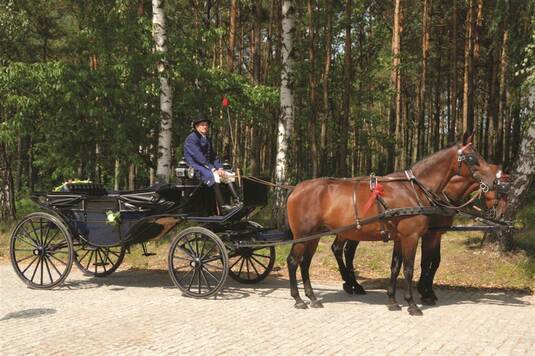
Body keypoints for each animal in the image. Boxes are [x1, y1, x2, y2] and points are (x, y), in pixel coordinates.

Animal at [336, 164, 510, 304]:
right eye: (499, 190)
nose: (502, 215)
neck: (438, 195)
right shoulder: (429, 235)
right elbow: (427, 262)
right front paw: (425, 292)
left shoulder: (436, 234)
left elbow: (435, 261)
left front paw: (427, 291)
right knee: (341, 250)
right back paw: (351, 284)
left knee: (345, 250)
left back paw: (351, 284)